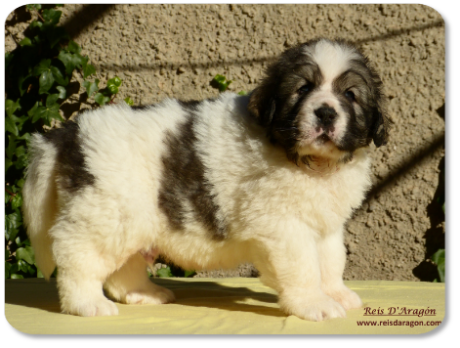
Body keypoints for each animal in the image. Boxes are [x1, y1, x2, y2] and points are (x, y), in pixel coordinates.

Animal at [21, 38, 388, 320]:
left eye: (350, 95)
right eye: (303, 88)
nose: (326, 112)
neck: (310, 163)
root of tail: (68, 132)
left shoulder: (326, 223)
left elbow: (331, 260)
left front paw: (336, 294)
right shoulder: (284, 226)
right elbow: (304, 267)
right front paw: (315, 305)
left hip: (130, 221)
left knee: (121, 268)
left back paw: (143, 293)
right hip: (104, 214)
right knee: (77, 255)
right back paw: (87, 304)